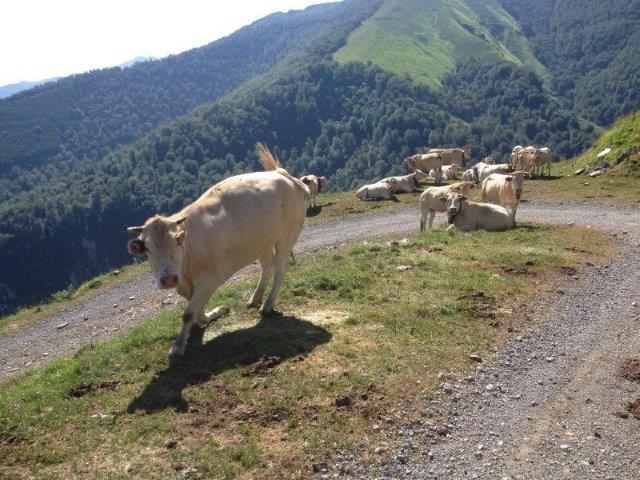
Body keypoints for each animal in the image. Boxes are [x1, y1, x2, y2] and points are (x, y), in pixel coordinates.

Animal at [125, 142, 310, 356]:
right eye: (147, 249)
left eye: (178, 241)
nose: (169, 279)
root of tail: (281, 174)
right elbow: (197, 310)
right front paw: (214, 314)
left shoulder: (211, 278)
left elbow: (189, 313)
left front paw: (178, 346)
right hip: (261, 240)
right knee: (267, 268)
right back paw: (255, 298)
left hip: (288, 233)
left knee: (279, 269)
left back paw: (268, 305)